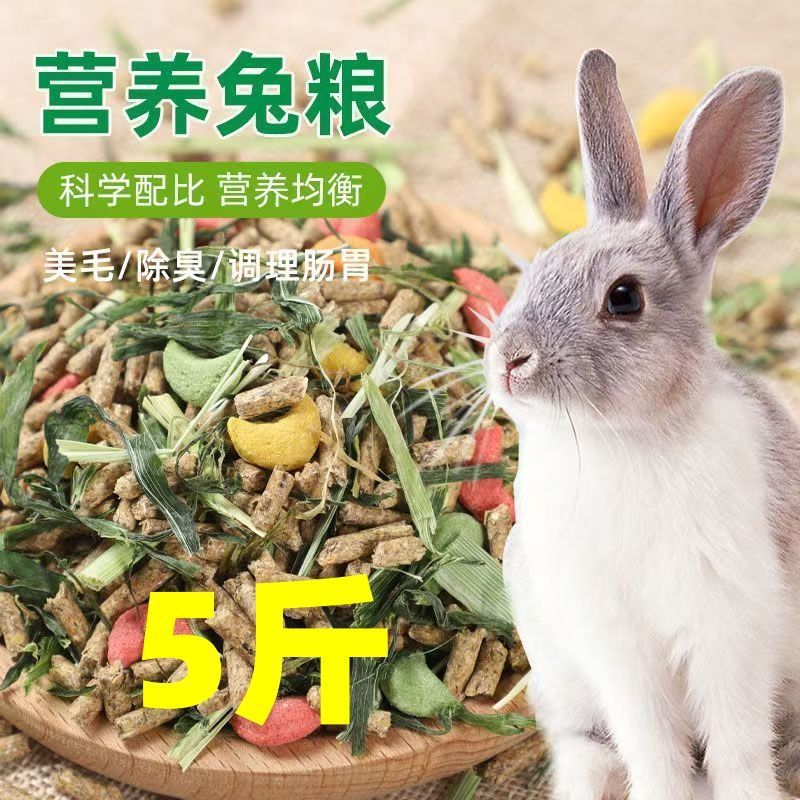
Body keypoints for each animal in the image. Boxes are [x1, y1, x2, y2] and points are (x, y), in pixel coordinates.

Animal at [484, 49, 800, 800]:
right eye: (534, 271)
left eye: (624, 298)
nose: (509, 359)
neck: (623, 440)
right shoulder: (616, 644)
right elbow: (652, 741)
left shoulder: (728, 625)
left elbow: (736, 743)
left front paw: (749, 794)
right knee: (583, 741)